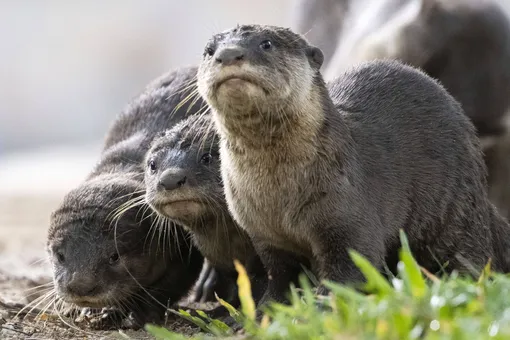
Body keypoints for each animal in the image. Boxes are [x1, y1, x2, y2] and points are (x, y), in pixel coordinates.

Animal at [45, 65, 208, 328]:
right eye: (59, 255)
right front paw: (88, 310)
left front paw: (138, 314)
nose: (80, 287)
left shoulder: (181, 245)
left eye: (114, 256)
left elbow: (169, 286)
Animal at [197, 23, 510, 306]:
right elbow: (281, 275)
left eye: (267, 44)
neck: (278, 196)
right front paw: (267, 309)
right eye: (209, 50)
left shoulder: (346, 215)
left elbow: (353, 269)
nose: (228, 54)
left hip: (455, 214)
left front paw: (322, 304)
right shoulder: (266, 235)